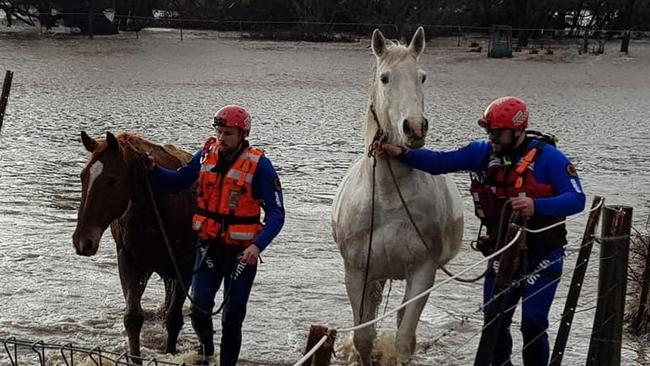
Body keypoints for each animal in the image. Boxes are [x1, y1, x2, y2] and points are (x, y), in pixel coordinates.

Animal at [73, 131, 195, 360]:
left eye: (111, 180)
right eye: (83, 176)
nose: (82, 241)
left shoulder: (185, 266)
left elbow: (174, 319)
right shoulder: (128, 260)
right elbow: (133, 318)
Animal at [332, 27, 464, 364]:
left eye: (422, 77)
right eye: (385, 78)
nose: (415, 128)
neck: (388, 197)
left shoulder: (422, 273)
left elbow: (405, 338)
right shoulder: (358, 273)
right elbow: (364, 337)